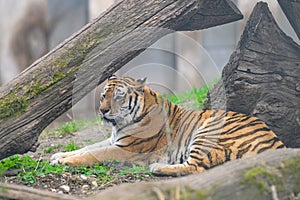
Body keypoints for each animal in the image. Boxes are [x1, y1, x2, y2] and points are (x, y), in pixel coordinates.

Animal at [51, 75, 286, 177]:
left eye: (118, 96)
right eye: (103, 96)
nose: (103, 111)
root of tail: (277, 143)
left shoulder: (127, 149)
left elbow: (95, 154)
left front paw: (64, 161)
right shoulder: (113, 140)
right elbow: (87, 148)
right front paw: (59, 155)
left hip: (208, 131)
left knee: (195, 167)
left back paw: (157, 167)